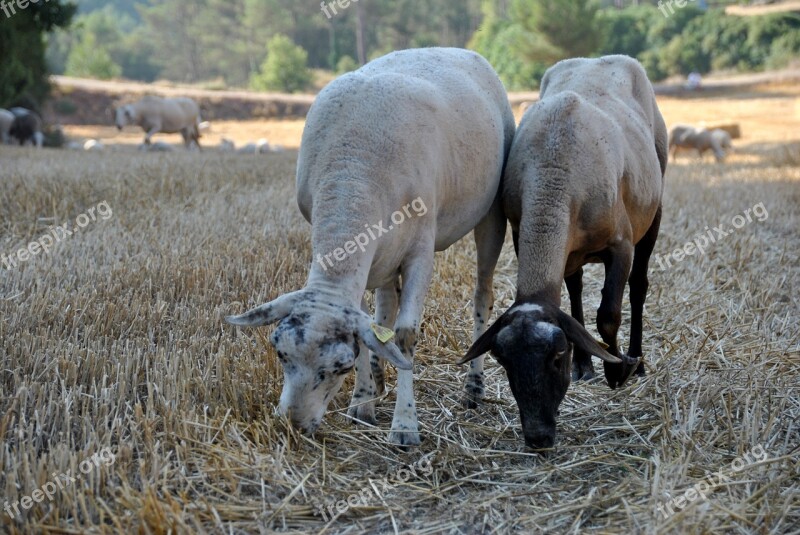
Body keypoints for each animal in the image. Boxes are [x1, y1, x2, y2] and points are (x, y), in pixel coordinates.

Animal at [225, 48, 512, 446]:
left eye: (339, 366)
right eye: (280, 353)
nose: (295, 425)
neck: (353, 173)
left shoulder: (420, 250)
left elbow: (405, 336)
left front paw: (404, 425)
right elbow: (371, 326)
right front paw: (362, 403)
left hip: (491, 213)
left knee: (482, 296)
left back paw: (473, 387)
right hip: (386, 252)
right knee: (385, 307)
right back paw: (377, 381)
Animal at [460, 54, 664, 450]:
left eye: (556, 357)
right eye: (504, 363)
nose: (538, 437)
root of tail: (598, 60)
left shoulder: (621, 243)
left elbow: (609, 315)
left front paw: (618, 370)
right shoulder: (522, 231)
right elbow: (573, 308)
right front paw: (590, 363)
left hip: (654, 208)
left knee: (639, 287)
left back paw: (638, 361)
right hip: (574, 254)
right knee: (576, 288)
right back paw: (588, 366)